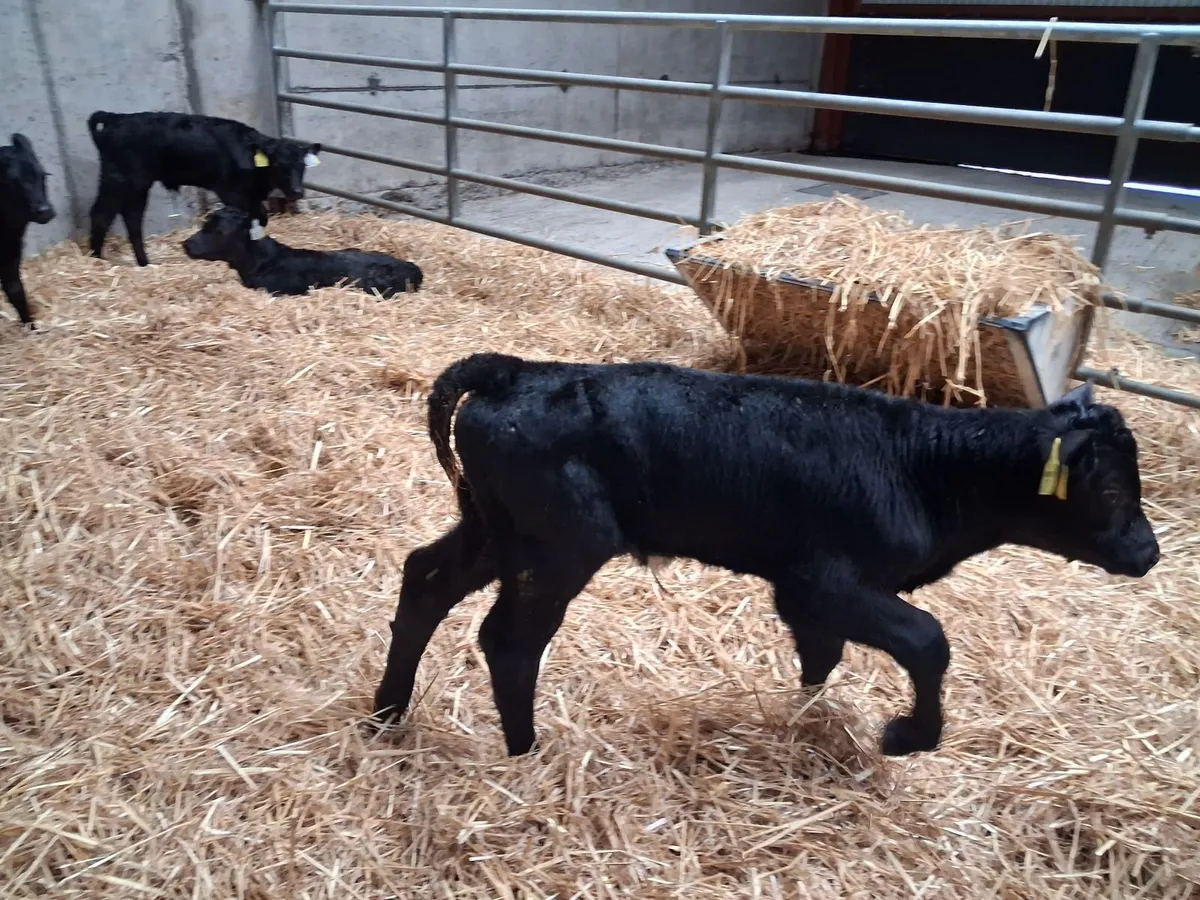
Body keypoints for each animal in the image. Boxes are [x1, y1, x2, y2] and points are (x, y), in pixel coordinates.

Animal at [1, 133, 56, 329]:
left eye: (44, 175)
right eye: (9, 181)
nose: (44, 210)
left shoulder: (11, 256)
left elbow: (16, 291)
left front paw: (31, 327)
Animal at [87, 110, 321, 267]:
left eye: (302, 165)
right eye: (279, 165)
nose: (297, 192)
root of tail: (116, 117)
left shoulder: (252, 196)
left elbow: (260, 218)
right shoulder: (232, 192)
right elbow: (252, 218)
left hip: (139, 184)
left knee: (133, 218)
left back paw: (144, 263)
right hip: (118, 178)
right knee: (101, 214)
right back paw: (96, 259)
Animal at [372, 353, 1160, 759]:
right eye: (1110, 485)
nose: (1149, 552)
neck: (920, 466)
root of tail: (516, 371)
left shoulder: (802, 589)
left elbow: (821, 654)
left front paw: (803, 714)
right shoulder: (823, 579)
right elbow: (926, 641)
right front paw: (909, 736)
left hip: (495, 529)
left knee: (424, 580)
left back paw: (386, 714)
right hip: (562, 543)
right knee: (509, 640)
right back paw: (524, 751)